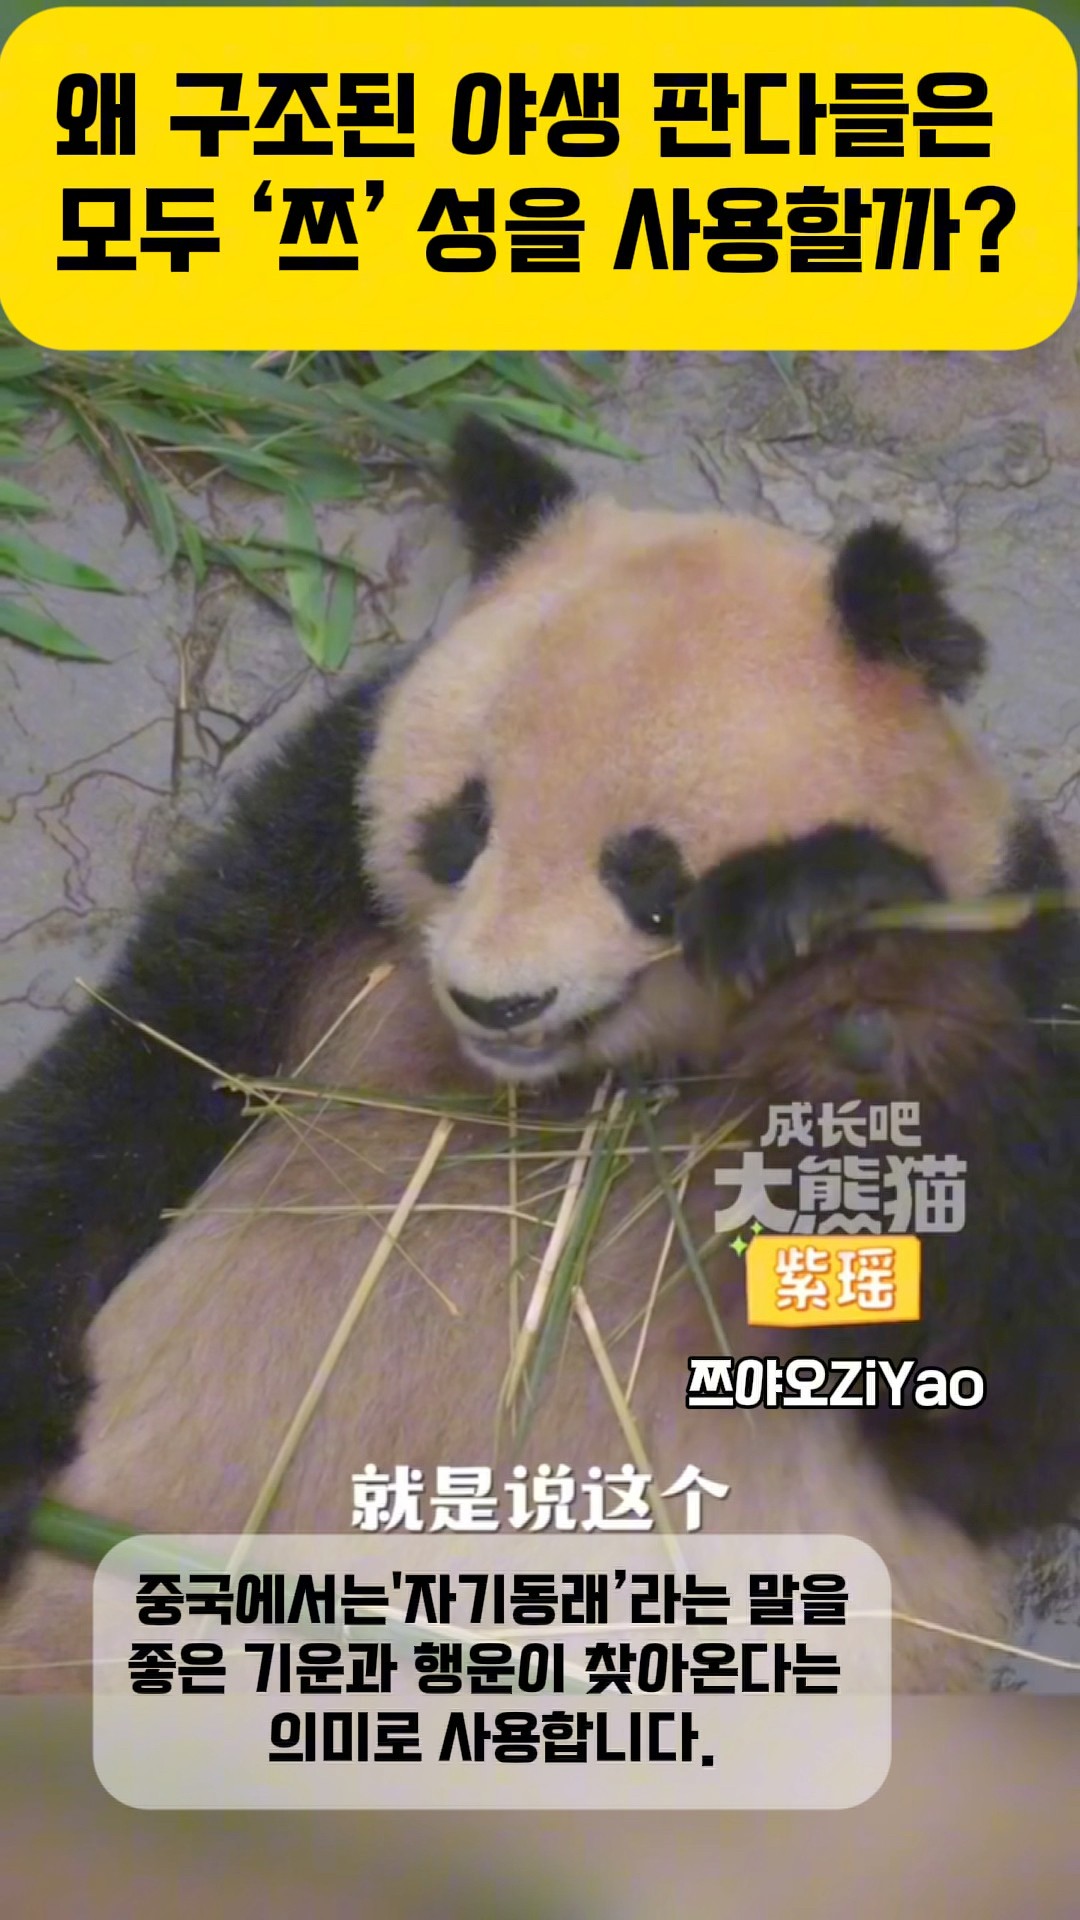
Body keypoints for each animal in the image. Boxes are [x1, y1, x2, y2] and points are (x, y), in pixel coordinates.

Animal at [1, 415, 1078, 1693]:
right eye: (463, 826)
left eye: (652, 877)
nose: (494, 1000)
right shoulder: (312, 863)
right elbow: (134, 1077)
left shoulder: (1022, 947)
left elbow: (1008, 1400)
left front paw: (825, 921)